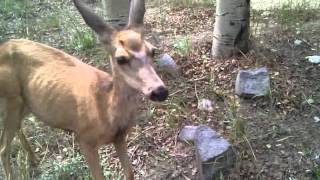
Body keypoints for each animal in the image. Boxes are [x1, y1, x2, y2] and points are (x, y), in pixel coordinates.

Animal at [0, 0, 169, 179]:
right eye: (121, 58)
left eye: (153, 51)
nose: (159, 91)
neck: (106, 110)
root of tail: (3, 46)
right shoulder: (85, 139)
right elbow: (98, 176)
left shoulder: (120, 137)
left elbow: (129, 173)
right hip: (10, 99)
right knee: (4, 147)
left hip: (25, 103)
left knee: (17, 128)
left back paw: (34, 160)